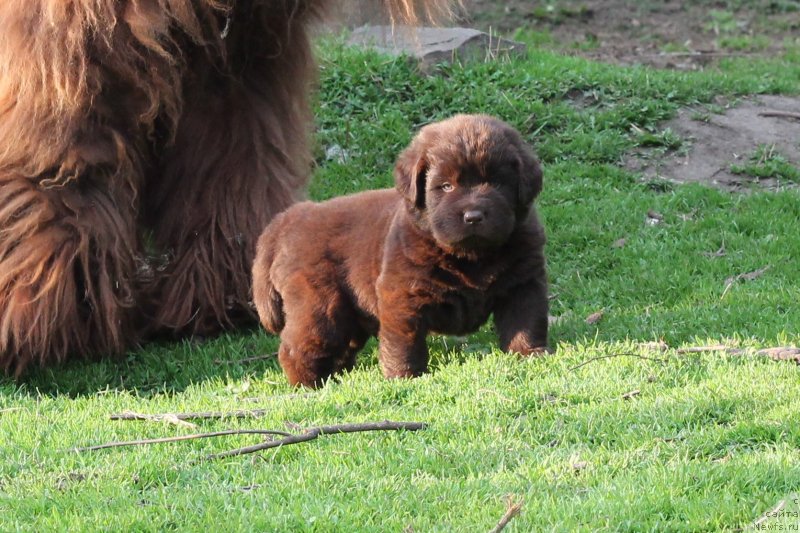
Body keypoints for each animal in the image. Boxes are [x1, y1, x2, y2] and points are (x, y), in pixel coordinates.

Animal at [253, 113, 548, 386]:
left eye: (497, 183)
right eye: (446, 186)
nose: (473, 216)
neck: (472, 259)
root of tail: (289, 218)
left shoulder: (523, 283)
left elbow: (525, 320)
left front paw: (530, 354)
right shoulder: (402, 294)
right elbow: (403, 340)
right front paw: (405, 376)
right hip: (319, 307)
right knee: (298, 346)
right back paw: (310, 384)